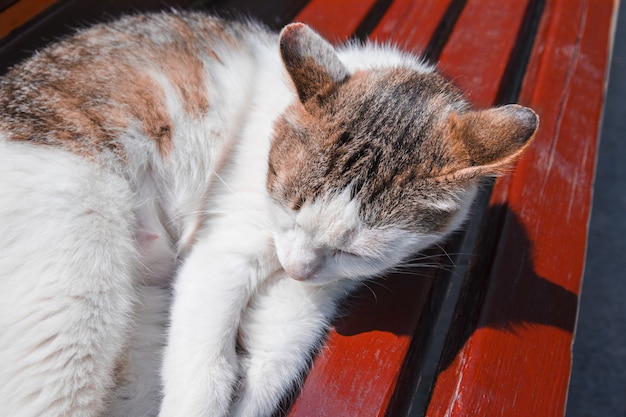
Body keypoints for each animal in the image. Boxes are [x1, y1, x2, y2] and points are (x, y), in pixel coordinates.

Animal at [0, 9, 536, 416]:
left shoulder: (313, 293)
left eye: (354, 252)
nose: (296, 267)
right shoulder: (223, 250)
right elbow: (205, 369)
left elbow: (276, 356)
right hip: (73, 295)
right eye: (289, 211)